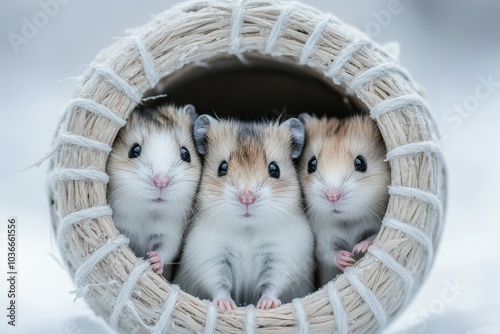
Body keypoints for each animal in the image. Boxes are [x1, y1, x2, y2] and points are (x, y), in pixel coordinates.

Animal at [106, 105, 201, 280]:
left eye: (186, 154)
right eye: (134, 150)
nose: (161, 182)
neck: (148, 213)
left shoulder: (169, 233)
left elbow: (165, 249)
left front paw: (154, 261)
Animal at [175, 115, 312, 310]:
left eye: (274, 169)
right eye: (222, 168)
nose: (247, 198)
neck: (247, 228)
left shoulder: (281, 256)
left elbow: (273, 283)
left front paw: (267, 305)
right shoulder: (211, 255)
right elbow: (219, 283)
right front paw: (226, 305)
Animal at [298, 113, 388, 286]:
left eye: (360, 162)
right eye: (311, 164)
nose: (332, 196)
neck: (347, 221)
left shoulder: (375, 224)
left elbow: (373, 237)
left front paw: (359, 248)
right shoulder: (324, 240)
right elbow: (329, 253)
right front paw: (347, 258)